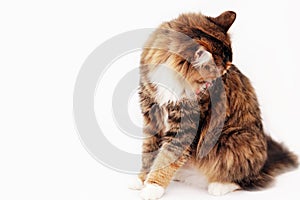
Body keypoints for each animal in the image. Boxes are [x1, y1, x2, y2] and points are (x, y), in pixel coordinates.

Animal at [128, 11, 298, 200]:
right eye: (216, 72)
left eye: (227, 69)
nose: (220, 80)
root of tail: (264, 164)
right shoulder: (151, 116)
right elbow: (149, 153)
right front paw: (141, 180)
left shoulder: (185, 127)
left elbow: (166, 157)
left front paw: (152, 187)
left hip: (233, 141)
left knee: (247, 180)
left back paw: (219, 185)